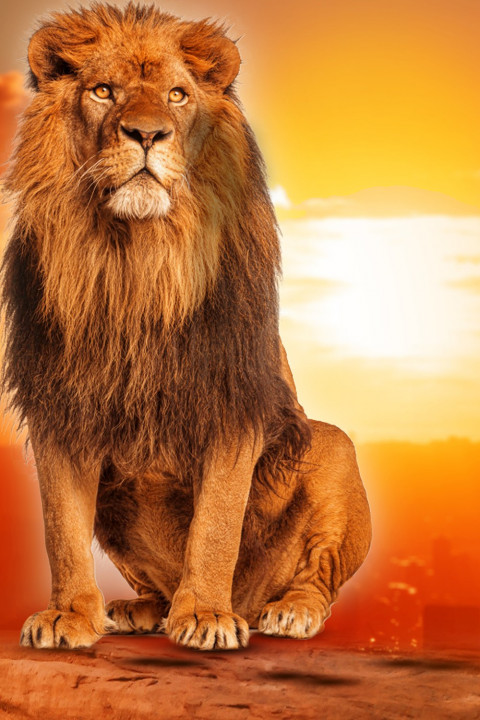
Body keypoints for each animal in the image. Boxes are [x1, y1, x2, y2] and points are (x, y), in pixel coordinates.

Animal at [1, 3, 371, 651]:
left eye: (177, 95)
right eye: (103, 91)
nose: (147, 135)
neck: (136, 258)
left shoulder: (232, 403)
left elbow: (217, 524)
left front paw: (203, 615)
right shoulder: (61, 408)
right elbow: (61, 528)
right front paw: (69, 614)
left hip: (332, 447)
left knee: (315, 577)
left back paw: (283, 612)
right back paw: (140, 609)